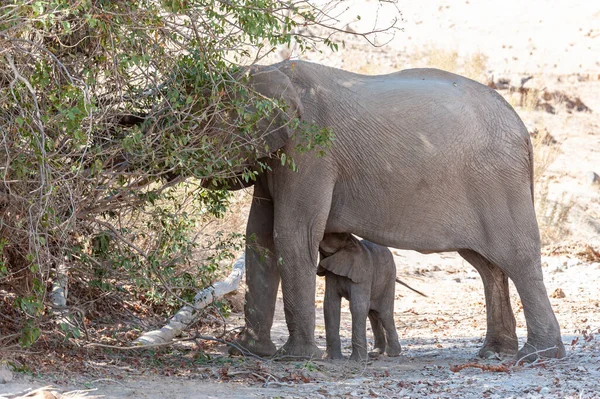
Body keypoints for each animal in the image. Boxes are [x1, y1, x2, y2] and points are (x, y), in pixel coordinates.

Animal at [318, 234, 404, 362]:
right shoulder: (331, 274)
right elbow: (330, 304)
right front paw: (331, 358)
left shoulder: (363, 272)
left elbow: (358, 306)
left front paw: (358, 360)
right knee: (373, 314)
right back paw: (375, 352)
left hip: (388, 279)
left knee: (384, 314)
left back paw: (393, 353)